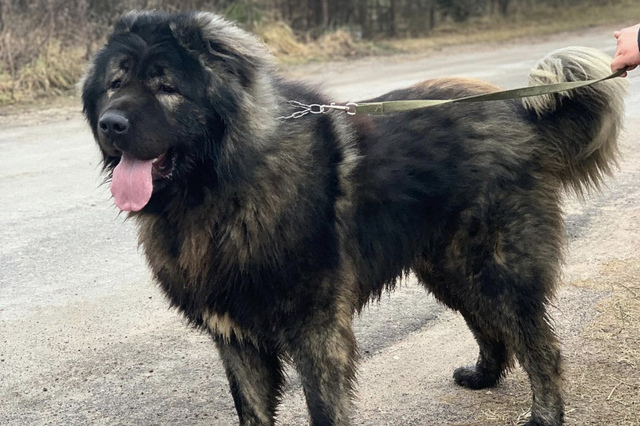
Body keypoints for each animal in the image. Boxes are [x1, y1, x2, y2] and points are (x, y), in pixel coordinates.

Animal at [80, 10, 624, 426]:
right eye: (115, 84)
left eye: (165, 86)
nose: (111, 124)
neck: (223, 186)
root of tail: (521, 115)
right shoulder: (236, 336)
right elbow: (251, 411)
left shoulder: (316, 331)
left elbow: (324, 408)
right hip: (450, 269)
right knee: (488, 325)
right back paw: (483, 375)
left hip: (499, 269)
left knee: (540, 347)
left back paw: (545, 414)